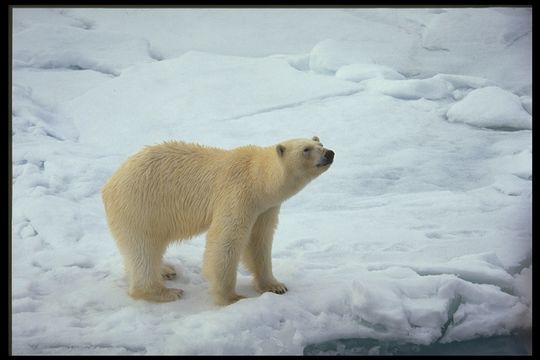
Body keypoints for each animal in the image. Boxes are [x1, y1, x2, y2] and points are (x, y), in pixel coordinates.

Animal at [102, 136, 334, 306]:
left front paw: (275, 285)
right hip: (140, 206)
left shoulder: (265, 208)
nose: (329, 153)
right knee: (143, 248)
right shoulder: (238, 194)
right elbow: (226, 241)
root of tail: (108, 184)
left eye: (320, 143)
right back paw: (165, 292)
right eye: (306, 149)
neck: (257, 178)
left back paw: (166, 270)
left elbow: (259, 241)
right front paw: (232, 297)